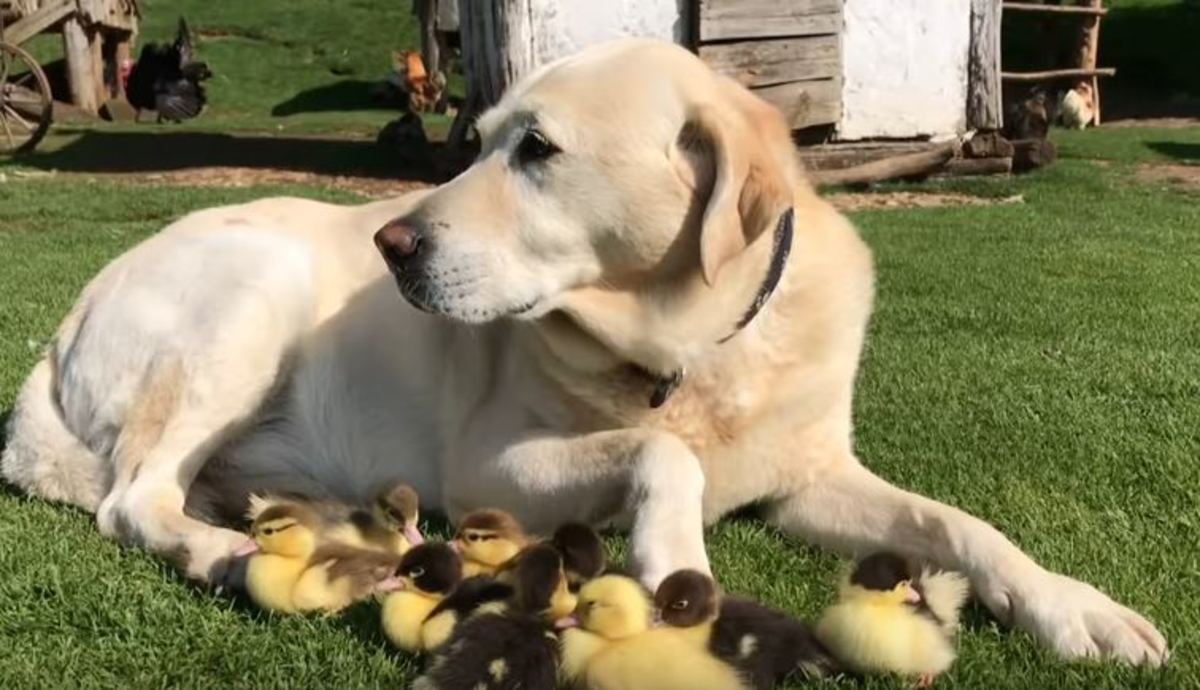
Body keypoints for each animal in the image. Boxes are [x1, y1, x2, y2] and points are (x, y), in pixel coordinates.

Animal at [0, 39, 1161, 662]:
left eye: (538, 150)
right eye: (475, 142)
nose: (392, 243)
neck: (698, 351)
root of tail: (55, 336)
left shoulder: (811, 480)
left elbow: (961, 525)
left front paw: (1077, 609)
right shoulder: (492, 464)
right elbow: (666, 454)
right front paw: (674, 563)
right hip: (254, 291)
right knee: (132, 498)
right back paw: (221, 552)